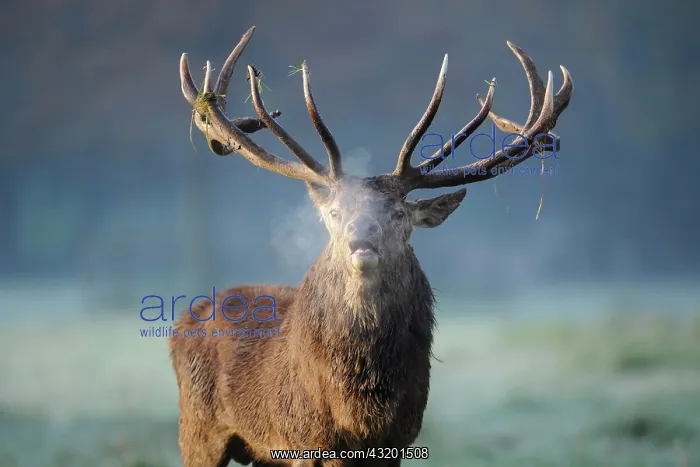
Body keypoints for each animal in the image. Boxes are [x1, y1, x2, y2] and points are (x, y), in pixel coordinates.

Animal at [169, 26, 573, 467]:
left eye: (397, 212)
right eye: (334, 212)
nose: (361, 235)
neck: (360, 407)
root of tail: (186, 318)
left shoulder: (400, 437)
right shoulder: (303, 438)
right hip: (199, 429)